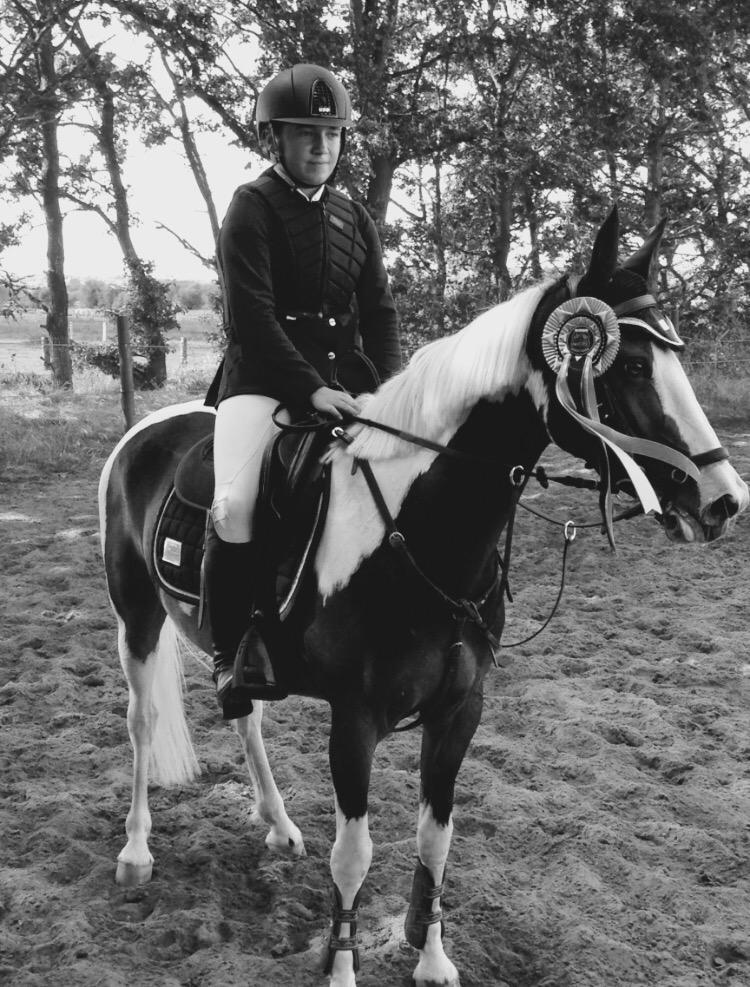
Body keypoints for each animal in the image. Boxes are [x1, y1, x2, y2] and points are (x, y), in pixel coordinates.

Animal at [99, 207, 748, 987]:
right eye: (628, 366)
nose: (722, 502)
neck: (416, 532)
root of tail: (144, 431)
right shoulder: (354, 720)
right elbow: (354, 854)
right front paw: (342, 966)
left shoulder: (458, 713)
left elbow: (436, 839)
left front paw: (433, 959)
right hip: (137, 618)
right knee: (141, 721)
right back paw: (136, 852)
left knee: (245, 712)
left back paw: (278, 825)